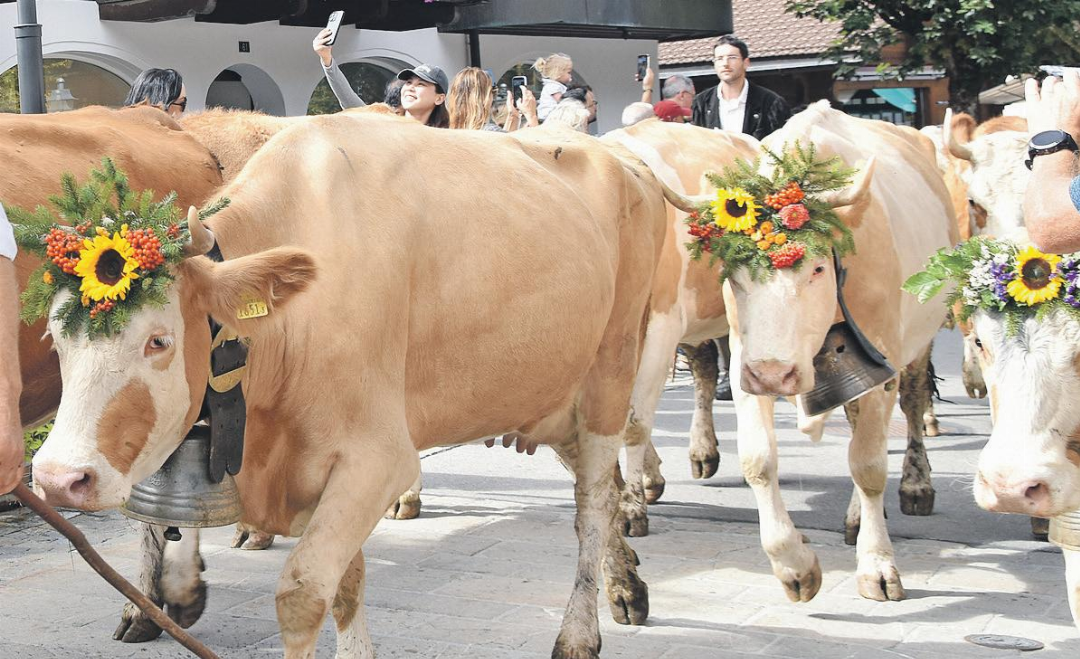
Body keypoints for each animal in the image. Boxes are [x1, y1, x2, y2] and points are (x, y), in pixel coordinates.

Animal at [29, 112, 667, 658]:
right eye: (56, 340)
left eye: (158, 341)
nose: (58, 478)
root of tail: (618, 155)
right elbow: (348, 587)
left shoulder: (378, 457)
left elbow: (304, 593)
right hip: (548, 392)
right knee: (602, 484)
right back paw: (627, 584)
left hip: (611, 372)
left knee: (592, 501)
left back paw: (579, 633)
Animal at [664, 101, 956, 602]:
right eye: (732, 272)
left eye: (817, 268)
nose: (773, 375)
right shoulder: (744, 364)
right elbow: (759, 461)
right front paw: (793, 567)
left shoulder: (882, 363)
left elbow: (869, 465)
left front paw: (877, 565)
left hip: (920, 336)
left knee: (913, 404)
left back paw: (915, 487)